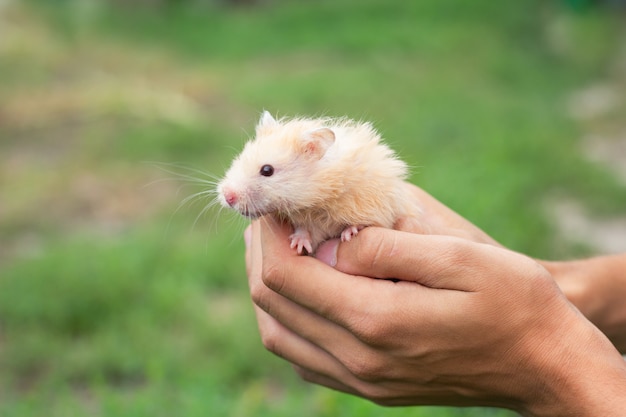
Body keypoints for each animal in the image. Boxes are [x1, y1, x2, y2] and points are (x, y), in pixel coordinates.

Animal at [217, 110, 416, 254]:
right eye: (241, 157)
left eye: (267, 170)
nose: (227, 196)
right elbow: (304, 230)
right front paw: (298, 244)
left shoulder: (379, 207)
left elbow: (368, 222)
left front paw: (349, 234)